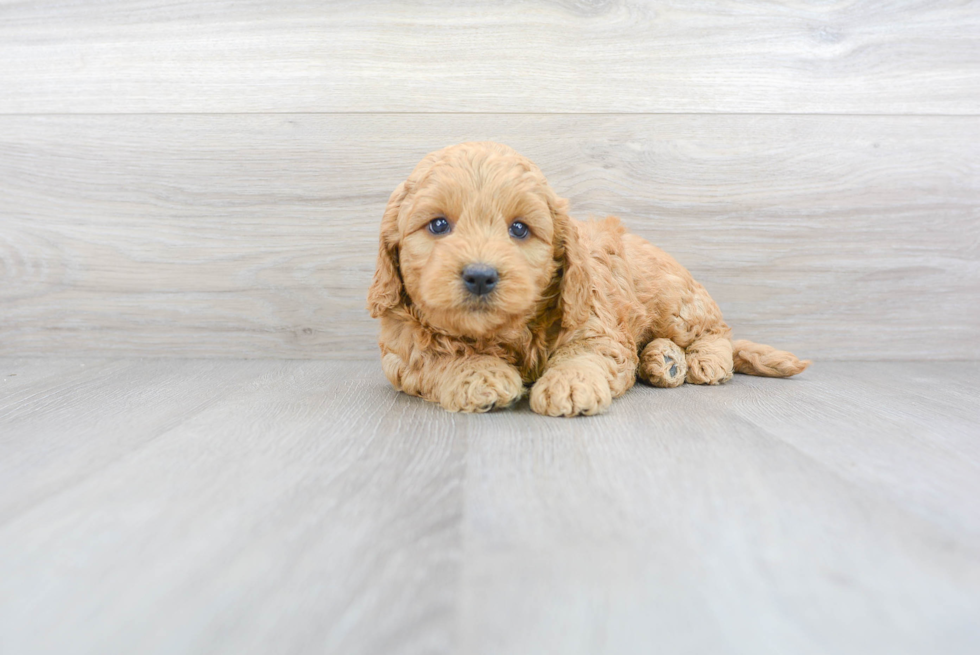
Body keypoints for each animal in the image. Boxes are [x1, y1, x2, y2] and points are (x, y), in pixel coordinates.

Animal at [364, 144, 808, 420]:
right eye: (438, 225)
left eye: (519, 229)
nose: (480, 276)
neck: (505, 333)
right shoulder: (401, 345)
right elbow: (436, 357)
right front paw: (479, 375)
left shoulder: (594, 321)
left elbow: (584, 354)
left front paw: (570, 385)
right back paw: (664, 360)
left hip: (674, 300)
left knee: (717, 331)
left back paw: (702, 359)